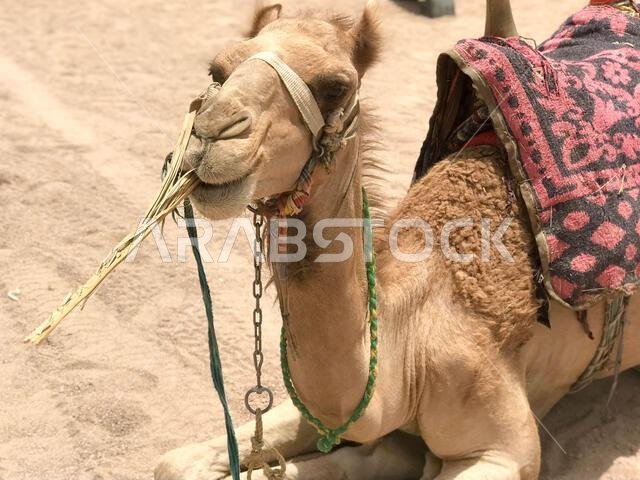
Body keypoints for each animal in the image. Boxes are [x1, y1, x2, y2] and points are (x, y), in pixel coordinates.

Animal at [155, 1, 640, 479]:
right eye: (218, 70)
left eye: (335, 86)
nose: (211, 134)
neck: (412, 339)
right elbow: (175, 464)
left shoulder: (503, 450)